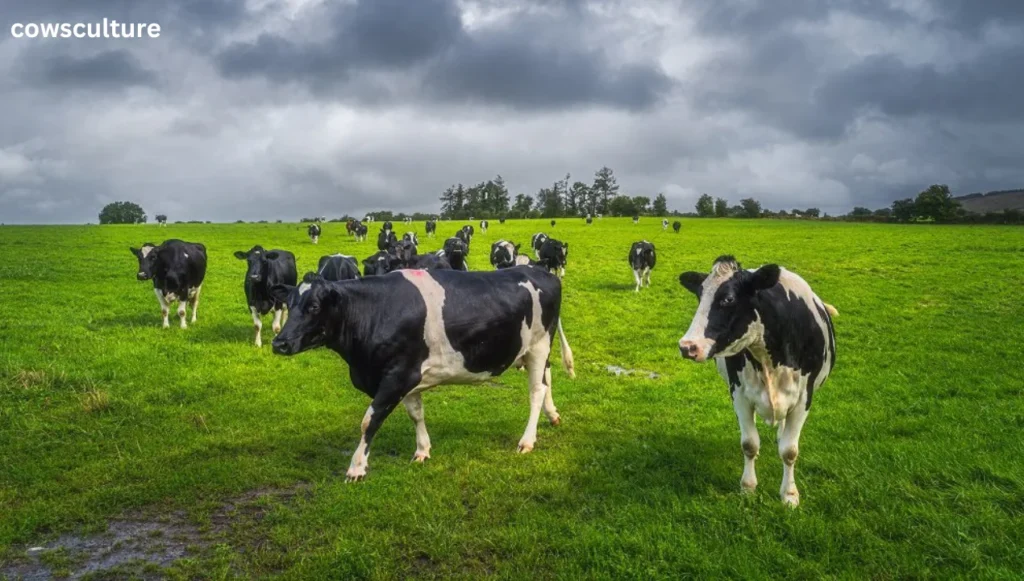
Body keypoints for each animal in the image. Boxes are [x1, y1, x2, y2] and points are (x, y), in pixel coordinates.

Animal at [270, 264, 577, 481]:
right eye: (289, 305)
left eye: (313, 306)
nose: (279, 343)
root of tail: (540, 270)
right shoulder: (408, 377)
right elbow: (416, 413)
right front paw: (422, 450)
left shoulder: (396, 376)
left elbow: (369, 421)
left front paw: (356, 467)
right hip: (535, 350)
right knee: (547, 378)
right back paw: (553, 415)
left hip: (539, 345)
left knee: (536, 390)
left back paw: (527, 441)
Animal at [675, 257, 835, 506]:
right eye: (700, 296)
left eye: (728, 299)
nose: (687, 346)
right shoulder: (739, 394)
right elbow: (750, 444)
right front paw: (748, 488)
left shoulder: (803, 398)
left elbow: (790, 451)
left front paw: (789, 494)